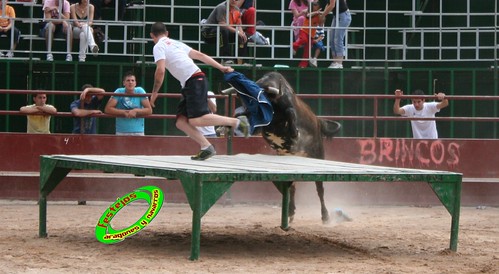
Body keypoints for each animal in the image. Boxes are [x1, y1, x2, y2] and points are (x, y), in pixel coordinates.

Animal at [229, 71, 342, 224]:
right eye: (247, 100)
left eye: (261, 99)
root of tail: (319, 123)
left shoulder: (288, 108)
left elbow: (290, 112)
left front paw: (295, 133)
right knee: (291, 187)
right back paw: (291, 212)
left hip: (318, 155)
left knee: (320, 188)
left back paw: (325, 216)